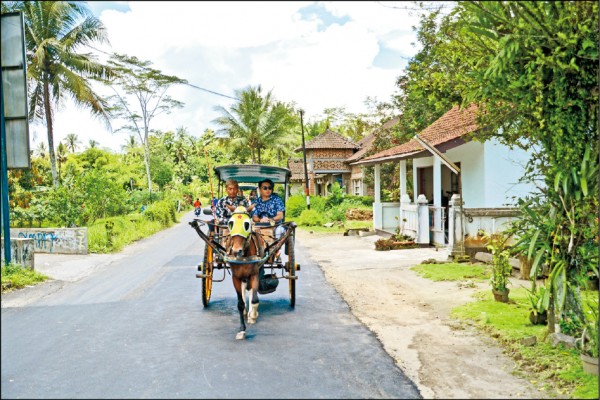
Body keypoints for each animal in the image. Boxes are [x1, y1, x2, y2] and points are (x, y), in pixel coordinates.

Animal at [225, 206, 268, 340]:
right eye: (230, 223)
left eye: (247, 224)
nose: (236, 251)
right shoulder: (235, 277)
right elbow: (240, 303)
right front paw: (242, 330)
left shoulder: (254, 274)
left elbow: (254, 299)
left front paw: (253, 315)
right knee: (244, 290)